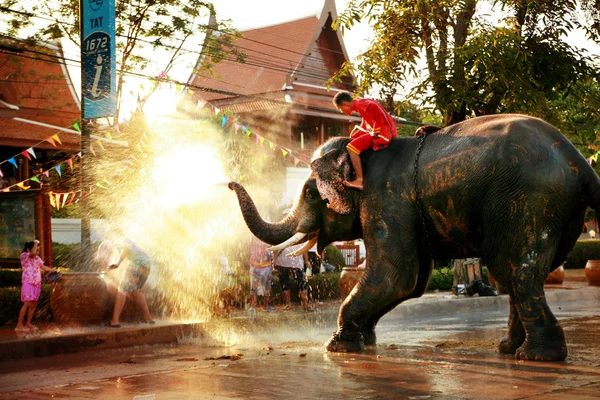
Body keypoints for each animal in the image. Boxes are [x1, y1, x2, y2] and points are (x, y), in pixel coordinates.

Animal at [229, 114, 600, 360]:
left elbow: (396, 275)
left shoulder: (387, 199)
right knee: (515, 274)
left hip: (528, 200)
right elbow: (414, 280)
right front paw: (364, 340)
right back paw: (509, 349)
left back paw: (536, 356)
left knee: (518, 273)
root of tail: (582, 164)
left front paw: (337, 345)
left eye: (309, 193)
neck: (361, 156)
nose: (230, 182)